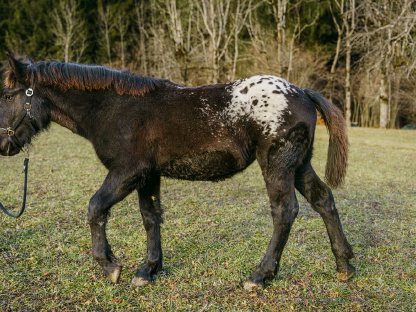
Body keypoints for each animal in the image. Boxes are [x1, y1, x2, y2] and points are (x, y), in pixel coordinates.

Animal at [0, 54, 354, 290]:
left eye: (6, 95)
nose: (3, 145)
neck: (113, 109)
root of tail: (303, 92)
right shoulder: (148, 175)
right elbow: (150, 217)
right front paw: (148, 270)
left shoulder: (127, 171)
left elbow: (95, 207)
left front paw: (109, 266)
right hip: (299, 165)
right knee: (323, 200)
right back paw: (345, 265)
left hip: (277, 165)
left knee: (285, 212)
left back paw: (260, 275)